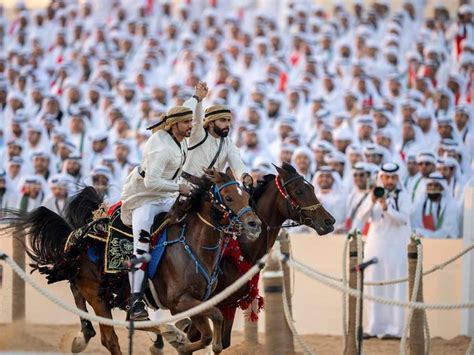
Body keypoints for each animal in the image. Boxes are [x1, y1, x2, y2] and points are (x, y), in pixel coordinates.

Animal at [0, 170, 260, 355]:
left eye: (248, 196)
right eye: (228, 198)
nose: (254, 224)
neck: (192, 247)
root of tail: (78, 236)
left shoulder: (199, 302)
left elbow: (207, 329)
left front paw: (181, 340)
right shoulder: (180, 301)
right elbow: (211, 324)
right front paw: (182, 343)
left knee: (89, 304)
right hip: (97, 294)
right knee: (109, 337)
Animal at [180, 163, 336, 350]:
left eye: (312, 187)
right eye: (299, 191)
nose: (329, 221)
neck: (242, 248)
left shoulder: (228, 305)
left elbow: (221, 342)